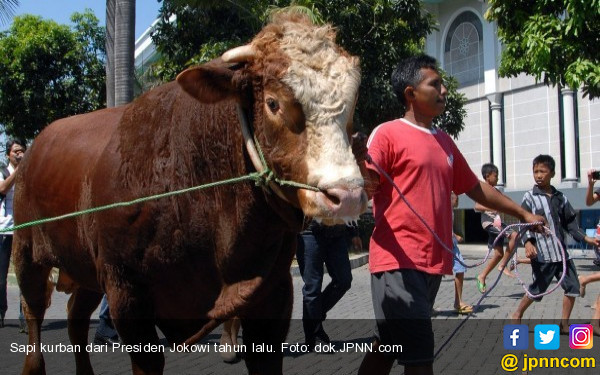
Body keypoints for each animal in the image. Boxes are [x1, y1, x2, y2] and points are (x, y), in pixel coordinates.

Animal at [12, 13, 366, 375]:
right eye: (273, 103)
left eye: (351, 105)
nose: (347, 196)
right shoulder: (126, 293)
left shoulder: (273, 289)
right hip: (27, 251)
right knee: (34, 311)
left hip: (84, 268)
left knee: (75, 316)